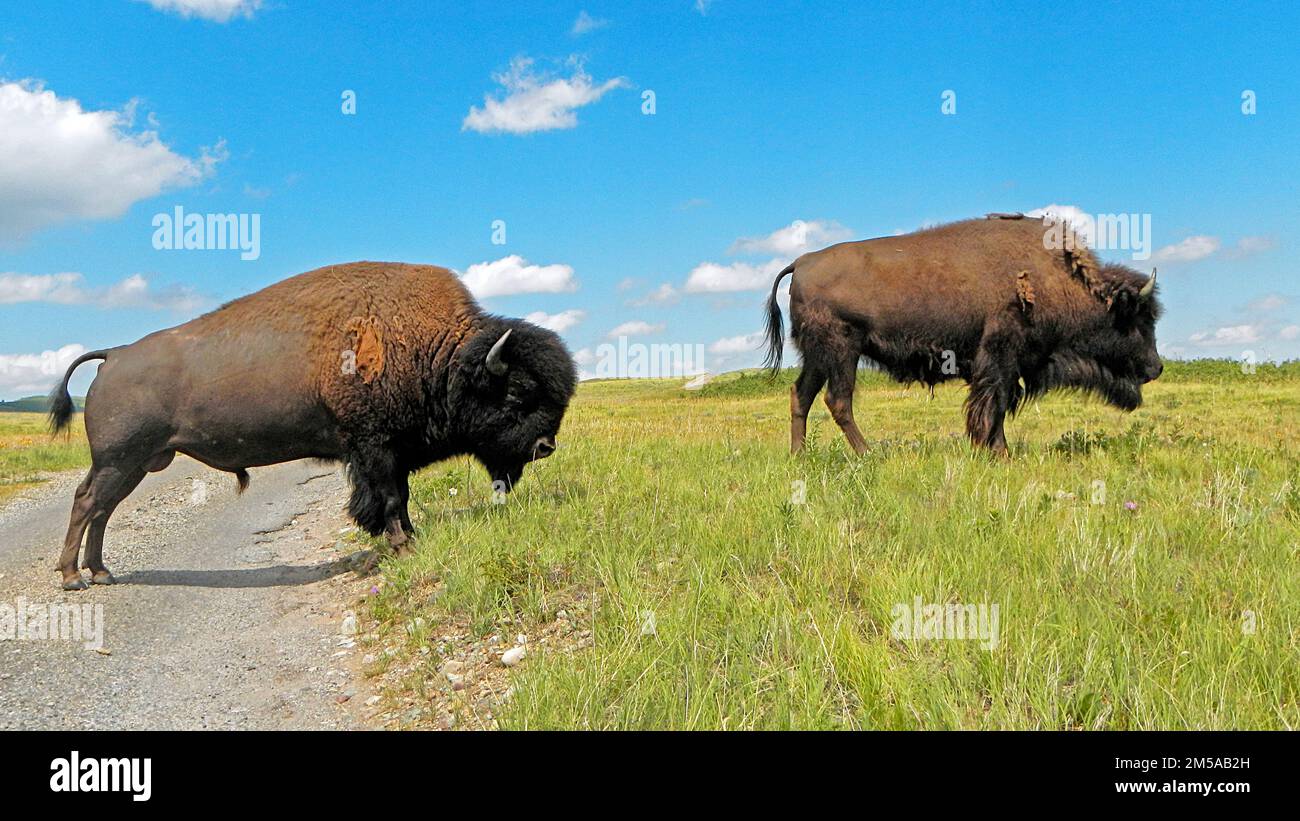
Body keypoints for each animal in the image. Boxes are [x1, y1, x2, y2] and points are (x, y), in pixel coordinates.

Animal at [48, 262, 574, 589]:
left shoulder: (389, 452)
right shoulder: (376, 448)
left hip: (137, 463)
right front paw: (402, 546)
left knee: (103, 509)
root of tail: (115, 355)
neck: (439, 353)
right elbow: (389, 498)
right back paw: (74, 577)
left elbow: (398, 498)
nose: (545, 445)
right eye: (518, 392)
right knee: (88, 502)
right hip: (121, 458)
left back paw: (100, 572)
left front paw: (407, 539)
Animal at [759, 216, 1164, 454]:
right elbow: (994, 405)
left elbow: (997, 406)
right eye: (1139, 320)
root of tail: (802, 262)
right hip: (843, 350)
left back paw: (800, 456)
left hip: (817, 355)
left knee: (802, 395)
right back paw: (870, 454)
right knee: (838, 400)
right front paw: (998, 453)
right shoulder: (1000, 358)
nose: (1156, 367)